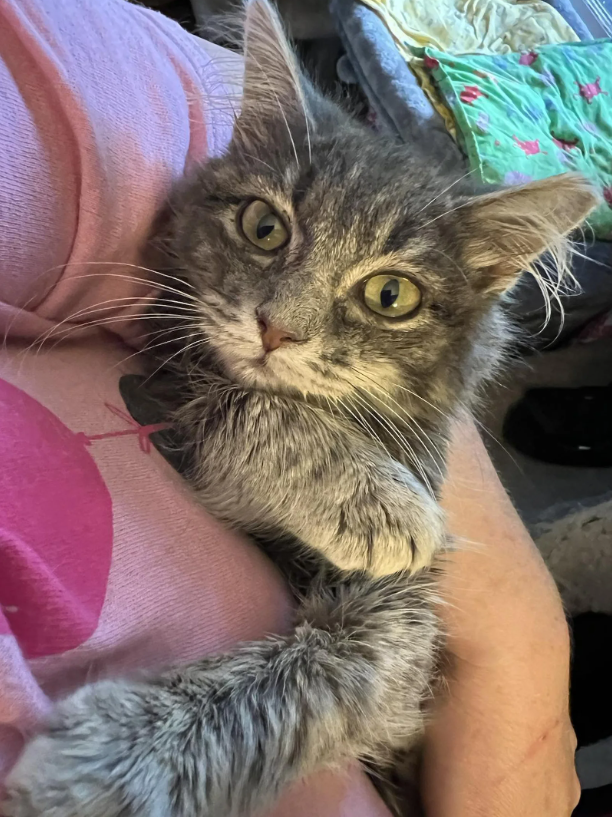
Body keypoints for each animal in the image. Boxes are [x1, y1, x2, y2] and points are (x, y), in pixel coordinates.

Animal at [2, 1, 600, 816]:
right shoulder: (164, 378)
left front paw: (111, 764)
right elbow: (251, 405)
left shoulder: (399, 634)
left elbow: (304, 682)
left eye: (390, 295)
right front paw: (378, 501)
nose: (276, 328)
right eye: (265, 227)